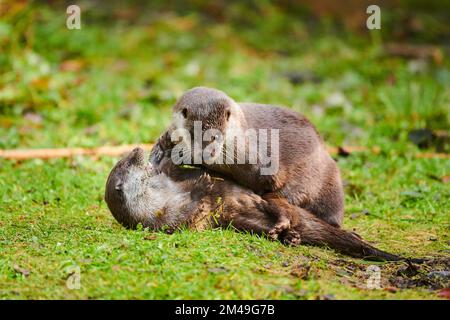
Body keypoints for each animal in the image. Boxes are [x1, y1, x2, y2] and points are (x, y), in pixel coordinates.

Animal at [104, 148, 412, 262]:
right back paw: (284, 233)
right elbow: (195, 215)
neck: (164, 197)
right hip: (252, 218)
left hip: (272, 199)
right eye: (128, 163)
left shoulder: (170, 180)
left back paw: (291, 234)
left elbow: (177, 171)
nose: (137, 149)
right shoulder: (169, 219)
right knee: (274, 218)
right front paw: (204, 188)